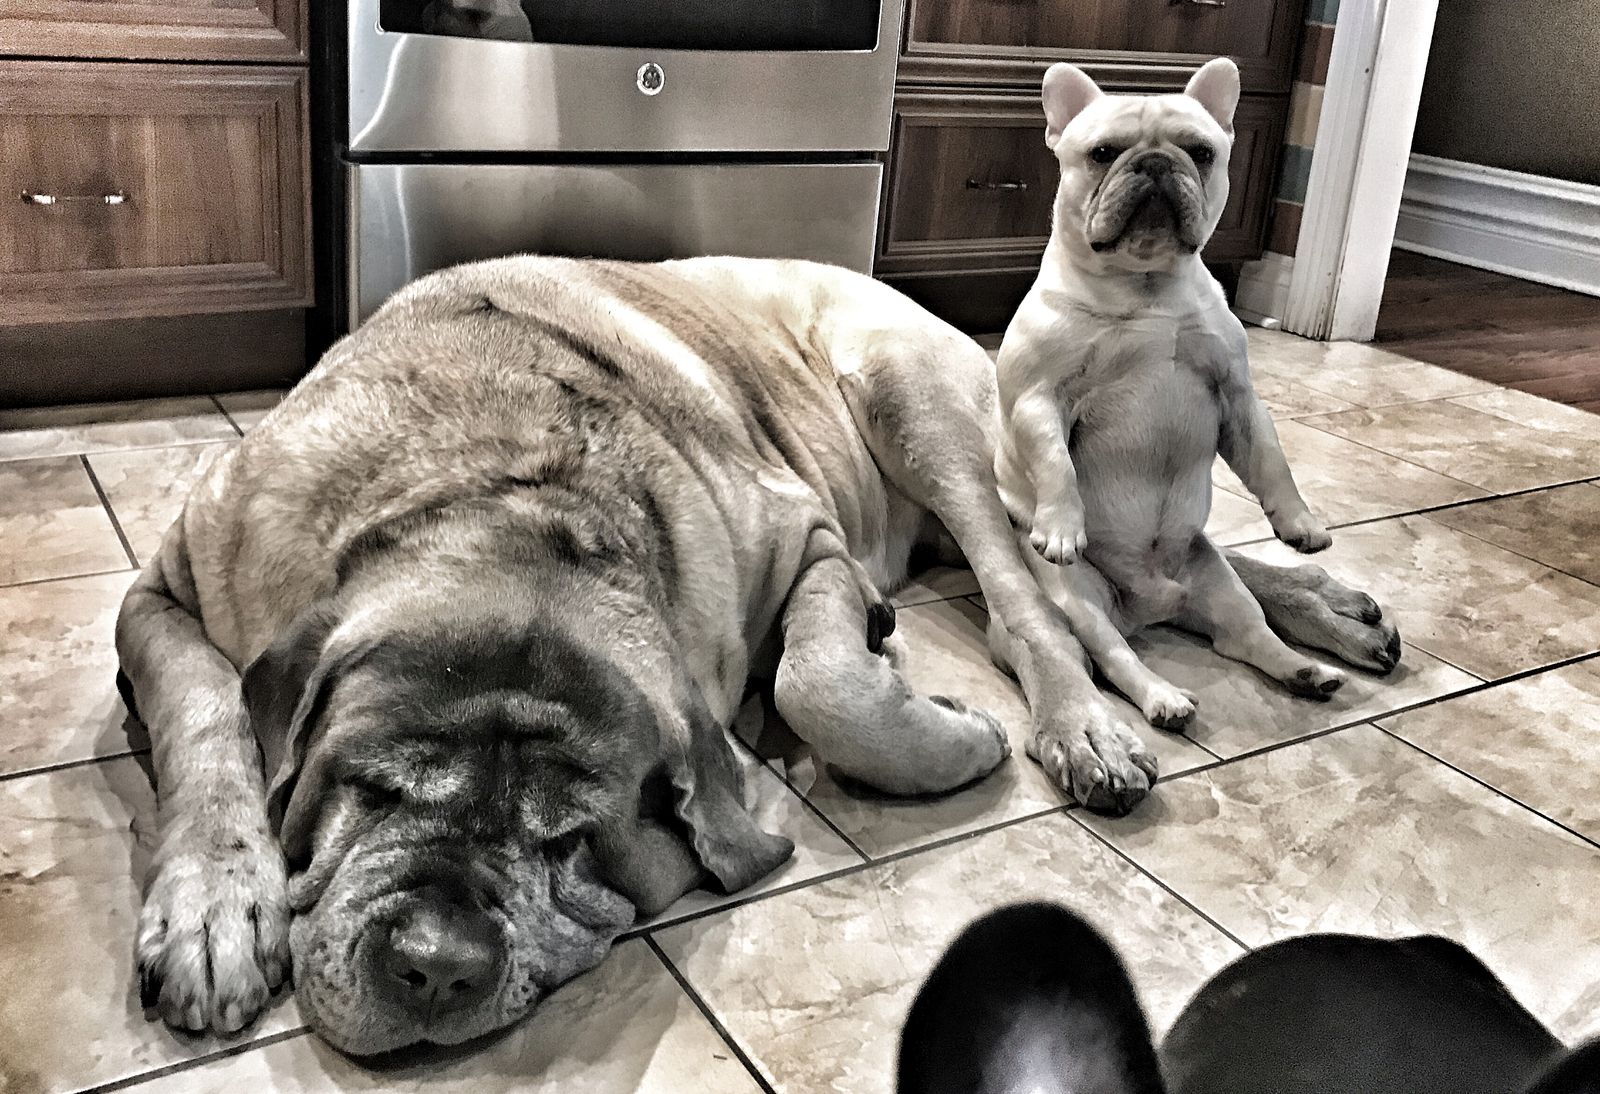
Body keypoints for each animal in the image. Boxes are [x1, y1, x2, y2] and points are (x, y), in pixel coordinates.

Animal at [116, 255, 1399, 1053]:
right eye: (367, 788)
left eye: (572, 841)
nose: (436, 960)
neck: (509, 496)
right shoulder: (163, 592)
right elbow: (208, 716)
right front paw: (217, 904)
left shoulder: (802, 536)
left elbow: (821, 679)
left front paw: (945, 730)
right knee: (1138, 569)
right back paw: (1326, 615)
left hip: (923, 411)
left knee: (1030, 598)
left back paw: (1098, 718)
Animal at [991, 59, 1392, 732]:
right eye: (1102, 153)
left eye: (1202, 152)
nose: (1155, 163)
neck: (1146, 287)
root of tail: (1154, 607)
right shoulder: (1039, 399)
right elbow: (1054, 464)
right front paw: (1063, 527)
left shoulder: (1237, 395)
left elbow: (1271, 460)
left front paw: (1299, 523)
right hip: (1080, 601)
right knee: (1116, 658)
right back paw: (1165, 697)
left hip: (1216, 578)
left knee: (1248, 636)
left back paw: (1305, 671)